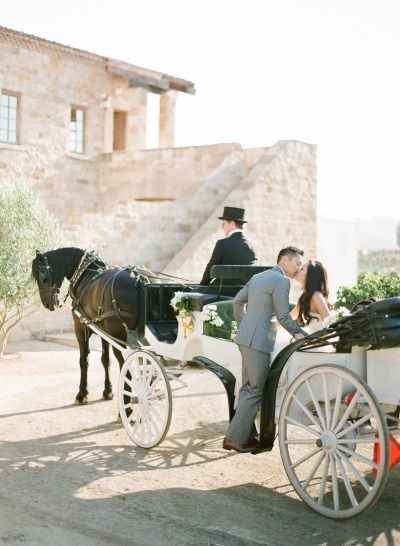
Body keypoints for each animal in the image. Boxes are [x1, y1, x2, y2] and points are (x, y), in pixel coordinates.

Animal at [32, 246, 142, 404]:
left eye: (43, 278)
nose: (46, 303)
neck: (85, 272)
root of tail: (137, 280)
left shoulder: (80, 328)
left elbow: (84, 360)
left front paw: (82, 393)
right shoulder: (102, 330)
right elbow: (105, 359)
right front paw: (108, 391)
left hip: (118, 333)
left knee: (124, 360)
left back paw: (127, 397)